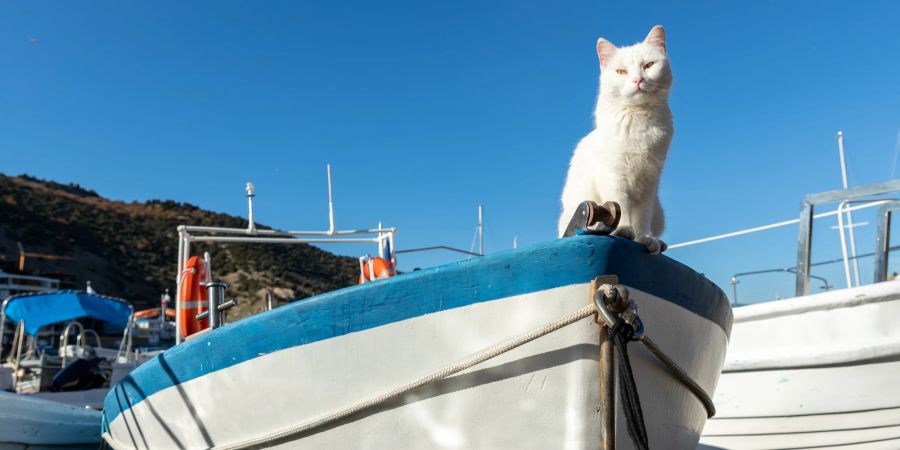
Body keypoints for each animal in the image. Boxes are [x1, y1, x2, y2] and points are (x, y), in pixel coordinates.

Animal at [556, 26, 676, 253]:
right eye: (621, 72)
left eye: (649, 65)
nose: (638, 80)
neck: (639, 118)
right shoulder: (614, 175)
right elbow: (620, 205)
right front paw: (624, 230)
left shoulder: (650, 181)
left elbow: (643, 217)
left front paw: (646, 238)